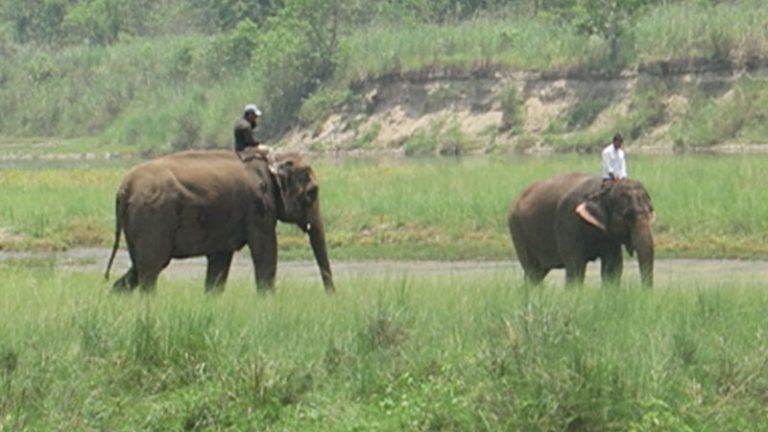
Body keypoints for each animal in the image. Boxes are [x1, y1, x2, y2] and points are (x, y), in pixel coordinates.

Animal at [103, 148, 332, 294]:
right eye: (312, 192)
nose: (332, 297)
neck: (271, 161)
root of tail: (123, 189)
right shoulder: (258, 209)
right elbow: (265, 248)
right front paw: (268, 301)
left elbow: (220, 259)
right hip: (153, 217)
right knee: (151, 268)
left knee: (139, 267)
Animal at [508, 172, 656, 286]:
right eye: (627, 216)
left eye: (650, 212)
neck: (604, 188)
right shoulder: (569, 221)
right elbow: (575, 268)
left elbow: (612, 269)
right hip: (518, 230)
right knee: (532, 271)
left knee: (538, 274)